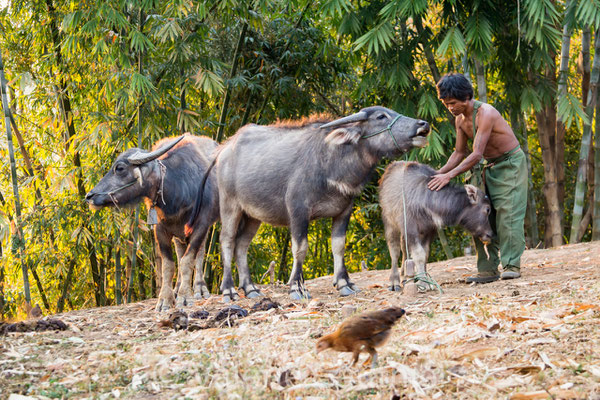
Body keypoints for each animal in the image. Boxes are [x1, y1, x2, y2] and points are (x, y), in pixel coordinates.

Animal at [86, 136, 220, 310]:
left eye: (120, 168)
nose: (89, 196)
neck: (177, 190)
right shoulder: (161, 229)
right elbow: (168, 265)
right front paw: (165, 299)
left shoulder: (201, 225)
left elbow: (188, 260)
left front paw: (185, 296)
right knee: (180, 252)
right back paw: (177, 288)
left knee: (200, 253)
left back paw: (199, 289)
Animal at [185, 105, 428, 300]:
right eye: (380, 116)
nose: (422, 124)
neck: (331, 162)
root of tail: (224, 150)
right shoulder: (298, 210)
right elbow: (300, 248)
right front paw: (297, 288)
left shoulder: (344, 210)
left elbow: (338, 245)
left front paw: (344, 283)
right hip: (230, 206)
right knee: (226, 241)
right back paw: (229, 290)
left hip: (253, 215)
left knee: (241, 244)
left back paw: (251, 288)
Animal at [380, 161, 492, 292]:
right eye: (487, 209)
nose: (490, 234)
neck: (425, 201)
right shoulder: (411, 229)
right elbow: (419, 255)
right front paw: (422, 283)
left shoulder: (429, 231)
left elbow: (425, 254)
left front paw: (425, 281)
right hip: (390, 223)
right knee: (395, 250)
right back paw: (395, 282)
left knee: (404, 249)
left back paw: (405, 278)